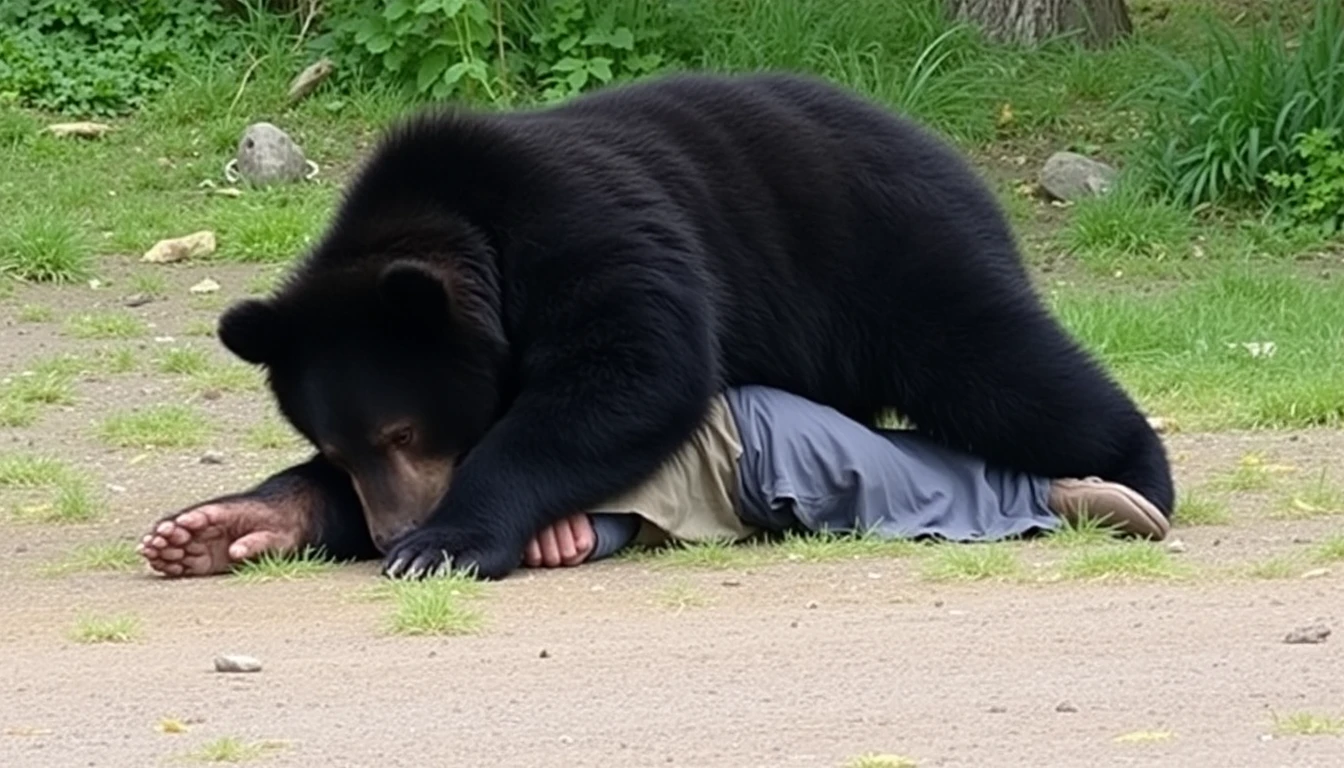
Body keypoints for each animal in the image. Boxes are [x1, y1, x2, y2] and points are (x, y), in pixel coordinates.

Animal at [201, 71, 1177, 581]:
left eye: (402, 431)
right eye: (337, 448)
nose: (392, 531)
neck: (469, 228)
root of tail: (953, 156)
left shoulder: (583, 233)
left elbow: (636, 368)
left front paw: (445, 544)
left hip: (898, 261)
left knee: (1003, 371)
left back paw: (1137, 472)